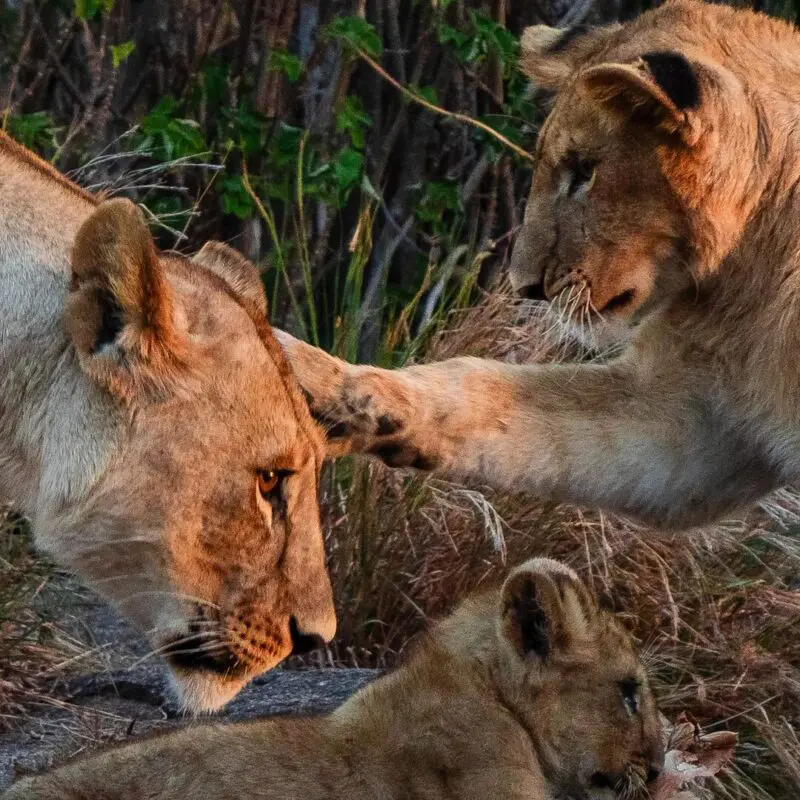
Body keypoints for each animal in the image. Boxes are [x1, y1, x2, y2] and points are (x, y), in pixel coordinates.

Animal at [276, 0, 800, 529]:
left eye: (585, 170)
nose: (526, 287)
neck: (746, 285)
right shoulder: (692, 417)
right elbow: (478, 384)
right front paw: (319, 379)